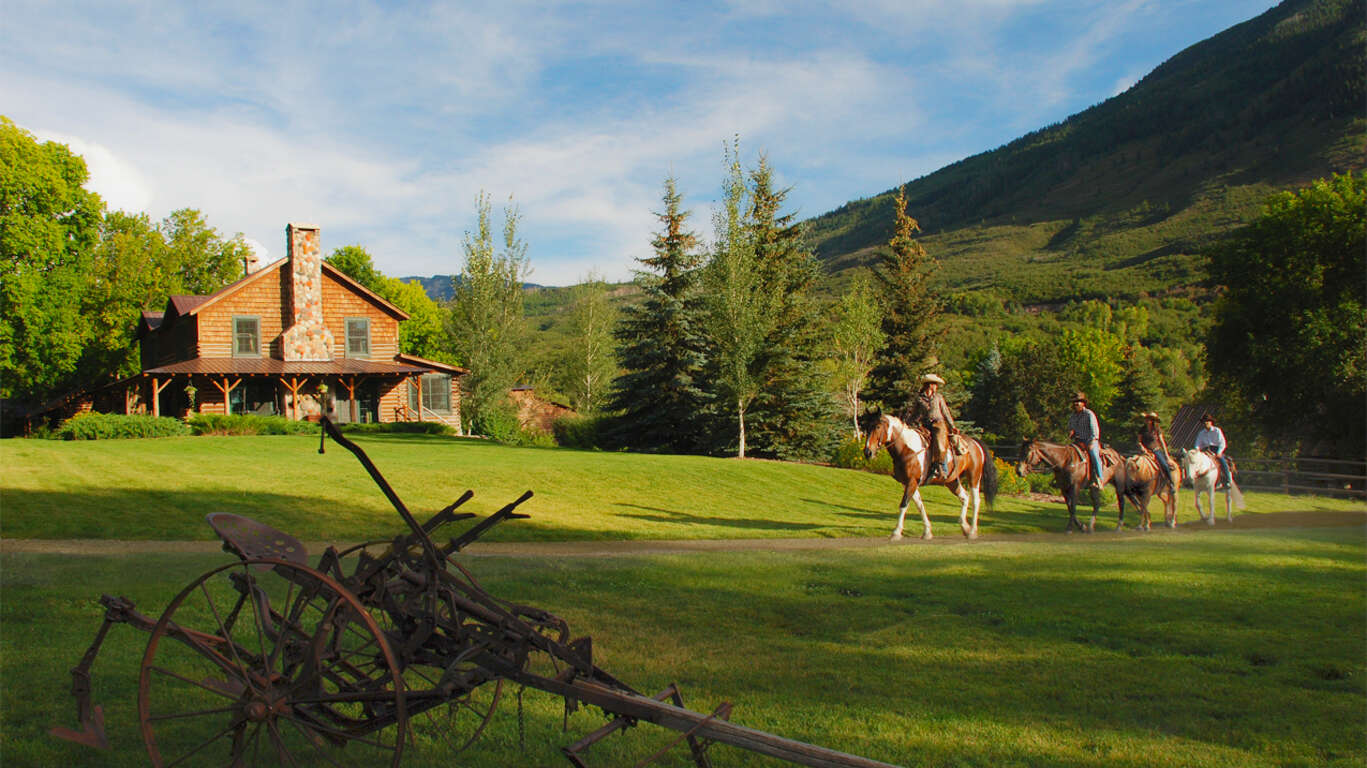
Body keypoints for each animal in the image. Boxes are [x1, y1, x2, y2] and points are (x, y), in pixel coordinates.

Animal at [858, 412, 1000, 538]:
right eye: (866, 427)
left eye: (877, 427)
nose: (868, 452)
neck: (907, 449)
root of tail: (975, 442)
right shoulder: (908, 483)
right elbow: (919, 505)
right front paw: (927, 531)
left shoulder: (912, 481)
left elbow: (904, 504)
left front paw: (896, 533)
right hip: (951, 481)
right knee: (964, 497)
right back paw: (965, 526)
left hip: (974, 477)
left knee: (976, 500)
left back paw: (972, 531)